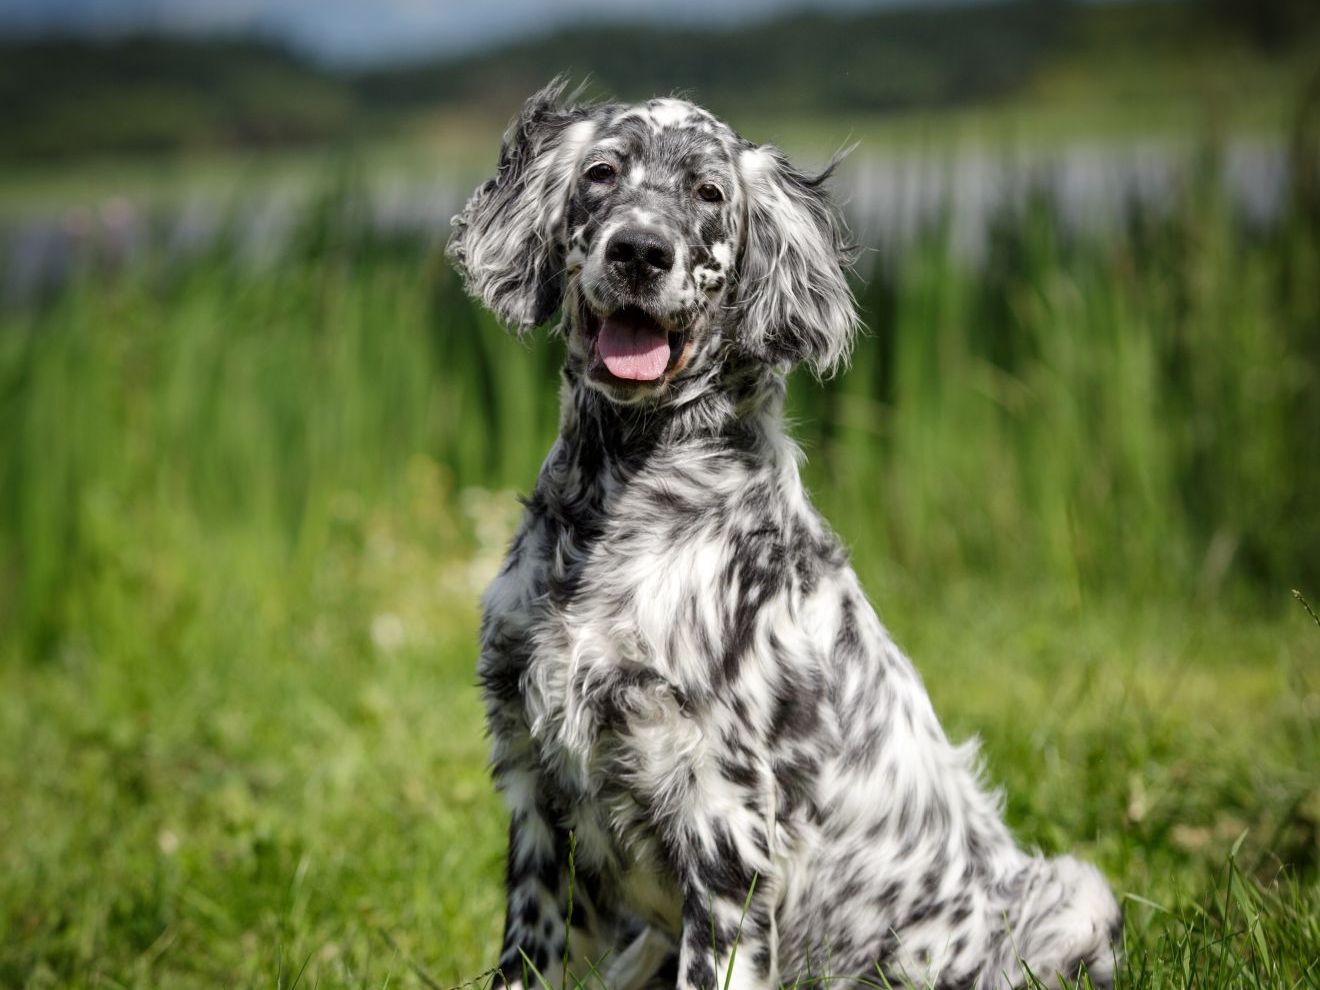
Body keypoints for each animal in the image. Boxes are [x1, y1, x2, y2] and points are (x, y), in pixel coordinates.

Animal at [446, 81, 1124, 990]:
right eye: (601, 173)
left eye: (708, 194)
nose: (639, 252)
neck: (618, 498)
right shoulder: (533, 788)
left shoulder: (724, 816)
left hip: (1077, 893)